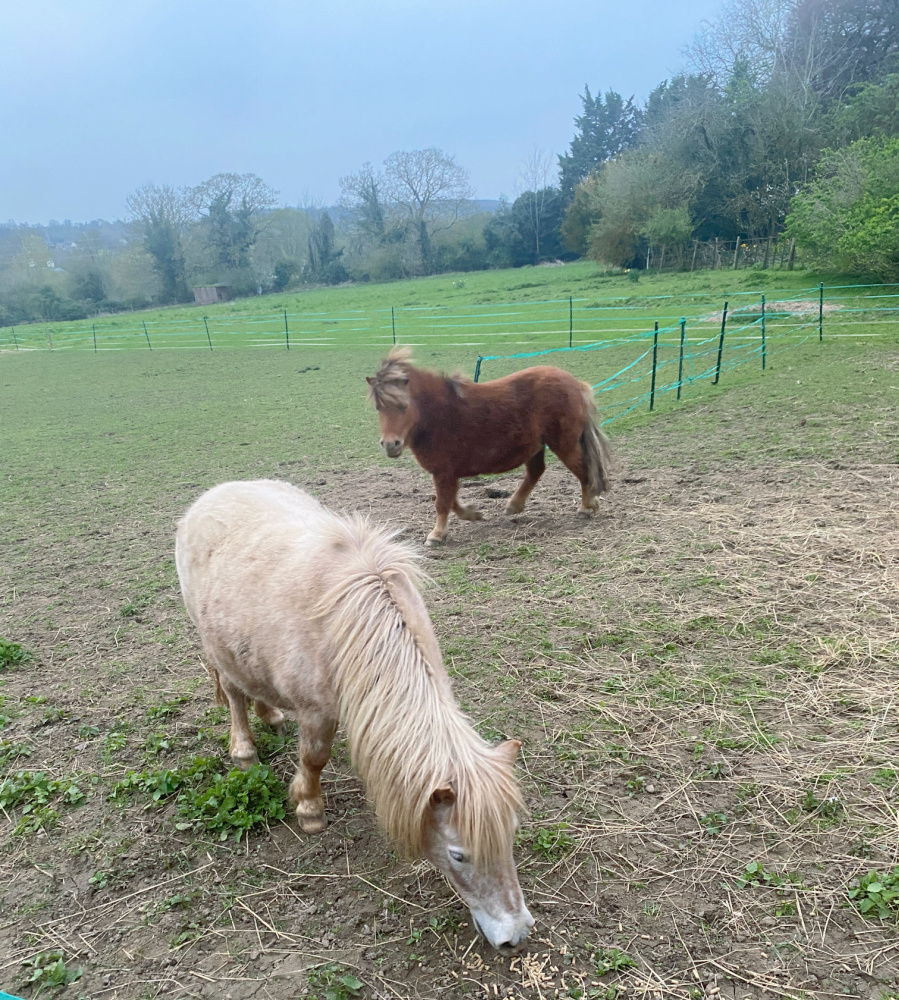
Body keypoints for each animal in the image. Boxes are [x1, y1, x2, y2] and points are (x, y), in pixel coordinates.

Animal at [176, 480, 536, 956]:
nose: (516, 935)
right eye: (459, 854)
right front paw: (310, 810)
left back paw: (270, 715)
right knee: (234, 694)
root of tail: (212, 495)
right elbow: (314, 759)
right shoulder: (317, 713)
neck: (352, 620)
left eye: (511, 834)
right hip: (213, 644)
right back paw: (245, 750)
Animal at [366, 348, 612, 544]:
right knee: (537, 471)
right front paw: (474, 514)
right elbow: (451, 501)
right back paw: (514, 505)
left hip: (563, 445)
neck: (437, 415)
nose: (390, 444)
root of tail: (576, 384)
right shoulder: (448, 473)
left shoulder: (443, 472)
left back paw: (586, 507)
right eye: (379, 407)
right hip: (536, 445)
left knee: (583, 470)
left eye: (403, 406)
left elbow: (443, 503)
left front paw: (436, 535)